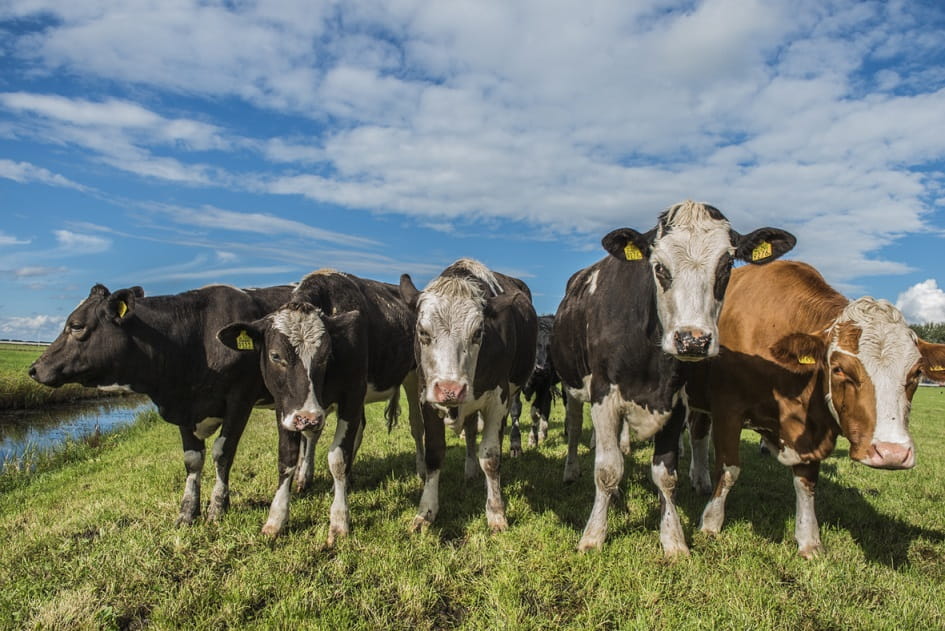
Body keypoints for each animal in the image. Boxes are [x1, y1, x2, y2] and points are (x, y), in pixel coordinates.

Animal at [29, 284, 294, 524]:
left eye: (76, 326)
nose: (34, 368)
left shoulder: (240, 399)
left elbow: (222, 452)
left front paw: (218, 508)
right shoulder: (184, 407)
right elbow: (192, 459)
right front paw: (187, 512)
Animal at [396, 258, 536, 532]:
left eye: (478, 333)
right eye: (423, 332)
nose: (450, 388)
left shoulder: (497, 399)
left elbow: (491, 457)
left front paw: (496, 511)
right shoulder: (426, 398)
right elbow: (434, 454)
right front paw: (426, 511)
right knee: (471, 431)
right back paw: (470, 469)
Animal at [508, 316, 560, 460]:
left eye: (550, 347)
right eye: (534, 343)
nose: (541, 369)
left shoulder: (544, 385)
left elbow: (535, 411)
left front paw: (532, 439)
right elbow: (515, 410)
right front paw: (515, 445)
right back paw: (543, 432)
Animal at [544, 200, 796, 556]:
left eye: (726, 265)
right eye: (659, 267)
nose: (693, 340)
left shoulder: (676, 402)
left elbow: (665, 475)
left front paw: (673, 539)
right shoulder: (604, 396)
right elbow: (607, 470)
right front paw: (593, 535)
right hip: (573, 388)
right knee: (576, 429)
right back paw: (571, 471)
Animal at [684, 260, 944, 556]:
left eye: (916, 373)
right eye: (839, 369)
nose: (892, 454)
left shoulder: (810, 428)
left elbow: (806, 482)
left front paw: (809, 540)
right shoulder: (728, 408)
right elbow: (729, 470)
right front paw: (710, 523)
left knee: (698, 432)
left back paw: (700, 479)